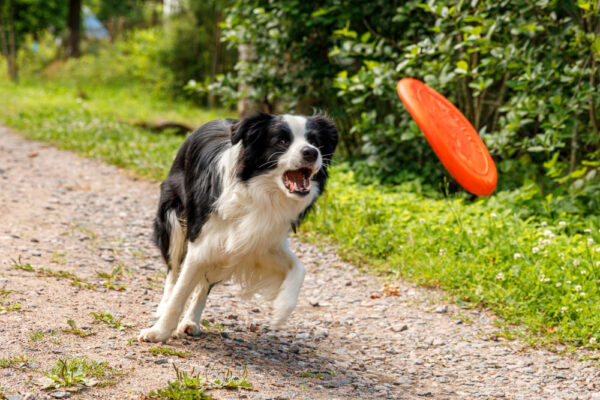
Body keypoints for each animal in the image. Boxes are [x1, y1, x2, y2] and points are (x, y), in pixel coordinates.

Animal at [138, 111, 340, 342]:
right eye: (282, 141)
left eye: (316, 141)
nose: (311, 152)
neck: (260, 192)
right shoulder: (202, 240)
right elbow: (180, 291)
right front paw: (158, 332)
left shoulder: (259, 241)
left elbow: (299, 268)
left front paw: (281, 310)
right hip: (172, 217)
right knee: (173, 270)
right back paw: (164, 306)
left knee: (204, 284)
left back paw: (191, 321)